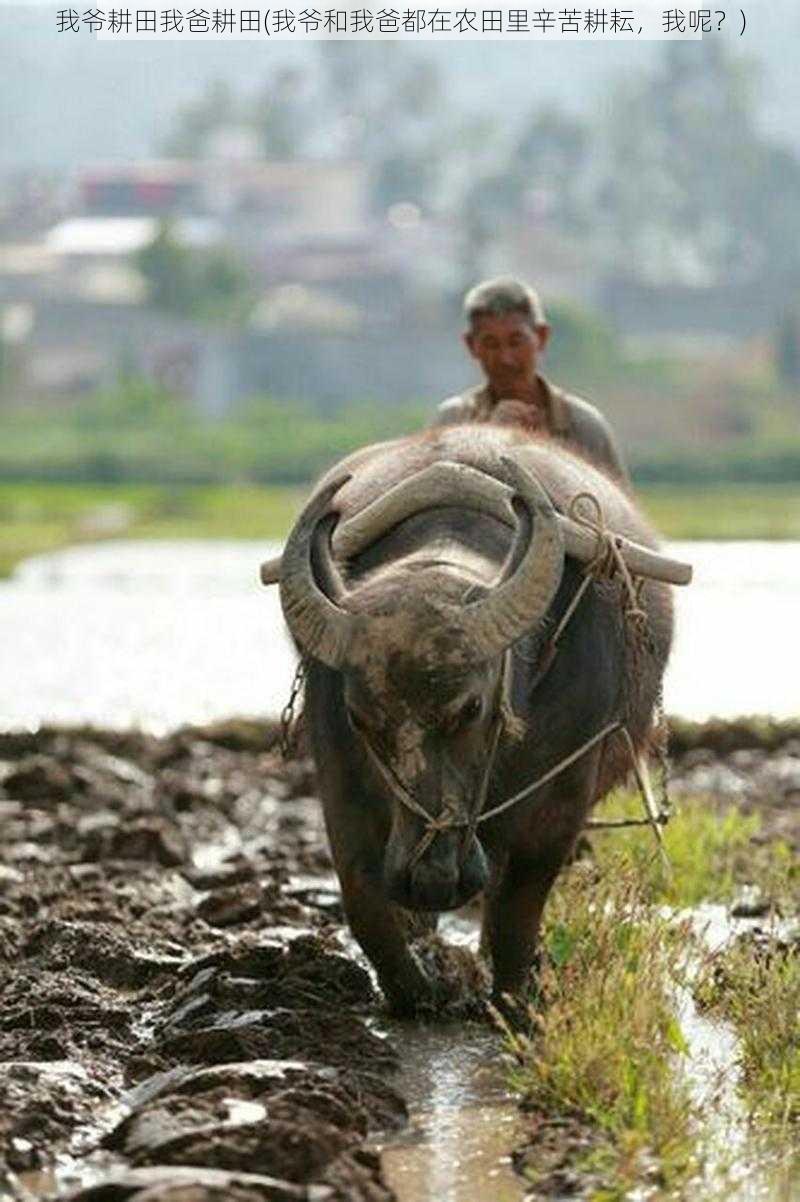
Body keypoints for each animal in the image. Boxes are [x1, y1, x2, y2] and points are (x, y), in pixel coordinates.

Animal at [260, 427, 687, 1009]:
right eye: (359, 718)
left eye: (472, 708)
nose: (429, 878)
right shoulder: (339, 776)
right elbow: (362, 898)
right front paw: (416, 989)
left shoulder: (564, 796)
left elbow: (516, 910)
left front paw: (512, 999)